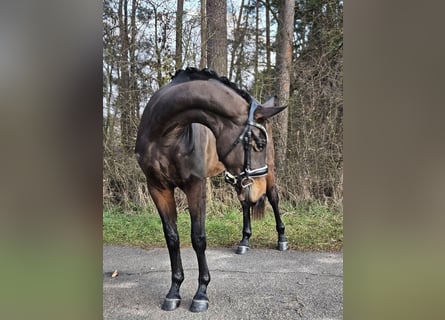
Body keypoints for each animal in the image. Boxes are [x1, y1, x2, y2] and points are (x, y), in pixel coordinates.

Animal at [135, 68, 288, 312]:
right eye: (258, 143)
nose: (258, 191)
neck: (165, 136)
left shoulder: (196, 186)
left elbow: (198, 238)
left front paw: (201, 293)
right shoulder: (157, 188)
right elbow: (172, 237)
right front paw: (173, 291)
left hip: (268, 173)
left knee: (273, 199)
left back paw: (282, 239)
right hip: (238, 180)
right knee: (245, 204)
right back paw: (244, 241)